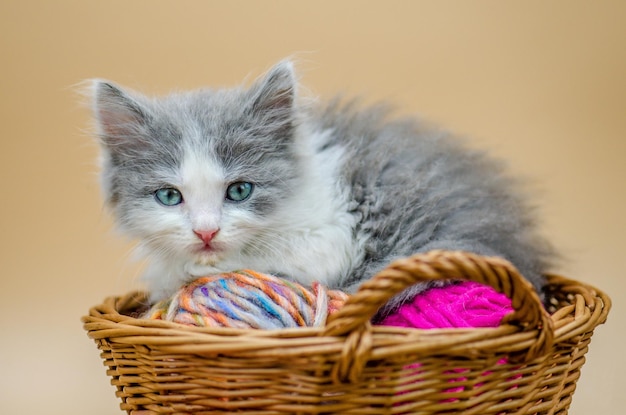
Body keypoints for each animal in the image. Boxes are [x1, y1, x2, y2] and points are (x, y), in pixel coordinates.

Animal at [89, 60, 552, 316]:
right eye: (169, 196)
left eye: (239, 191)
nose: (206, 231)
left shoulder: (331, 237)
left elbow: (222, 267)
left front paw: (184, 272)